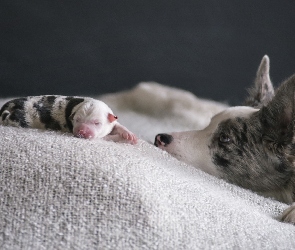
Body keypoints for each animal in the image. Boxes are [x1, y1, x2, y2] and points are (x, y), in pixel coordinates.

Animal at [0, 94, 138, 144]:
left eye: (97, 123)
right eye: (77, 120)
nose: (81, 132)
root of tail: (11, 104)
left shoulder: (111, 120)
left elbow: (116, 125)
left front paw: (129, 135)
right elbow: (106, 137)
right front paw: (120, 138)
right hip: (19, 118)